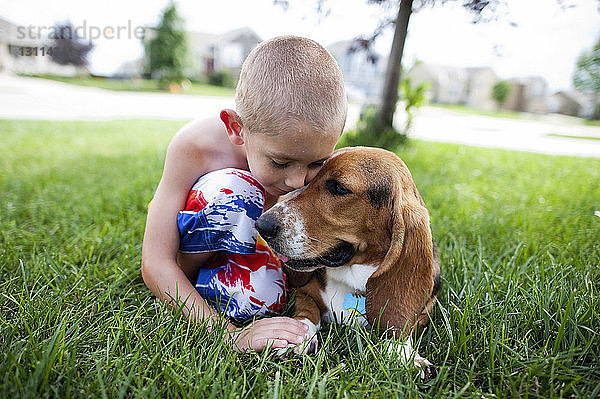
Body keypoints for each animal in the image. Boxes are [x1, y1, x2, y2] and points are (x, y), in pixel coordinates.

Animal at [256, 146, 440, 372]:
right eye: (308, 180)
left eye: (339, 187)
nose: (262, 224)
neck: (352, 279)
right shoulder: (304, 293)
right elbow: (307, 312)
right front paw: (297, 337)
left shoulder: (427, 310)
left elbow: (403, 326)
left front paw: (404, 353)